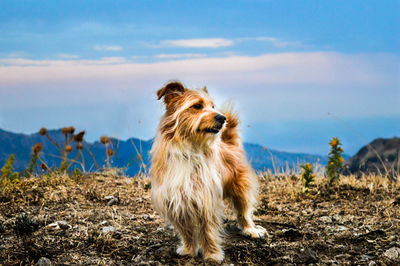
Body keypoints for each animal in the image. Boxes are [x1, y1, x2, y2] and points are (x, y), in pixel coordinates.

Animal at [149, 81, 266, 262]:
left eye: (212, 106)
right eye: (197, 106)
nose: (222, 118)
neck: (189, 149)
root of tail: (229, 143)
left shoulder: (206, 201)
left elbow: (208, 231)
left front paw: (212, 255)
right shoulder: (176, 200)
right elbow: (186, 230)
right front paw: (189, 250)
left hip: (241, 188)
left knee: (244, 212)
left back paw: (250, 230)